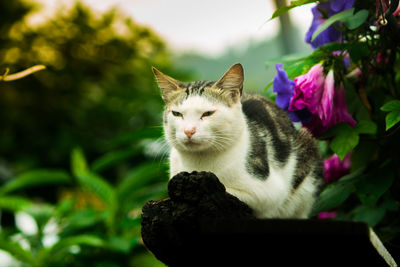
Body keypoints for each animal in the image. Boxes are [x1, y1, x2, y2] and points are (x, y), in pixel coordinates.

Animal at [152, 63, 324, 219]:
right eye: (177, 114)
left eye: (208, 113)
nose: (189, 130)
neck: (200, 164)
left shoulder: (269, 192)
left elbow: (229, 191)